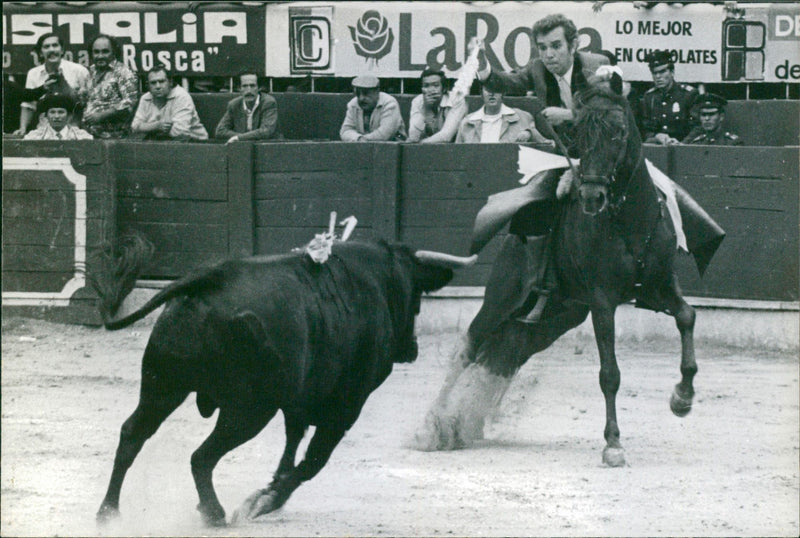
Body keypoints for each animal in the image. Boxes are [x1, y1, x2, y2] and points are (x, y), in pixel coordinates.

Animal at [97, 240, 478, 524]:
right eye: (417, 298)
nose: (411, 349)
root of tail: (209, 278)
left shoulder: (299, 399)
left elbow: (293, 440)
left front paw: (274, 485)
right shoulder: (347, 405)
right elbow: (313, 460)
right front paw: (266, 500)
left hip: (163, 386)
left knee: (132, 434)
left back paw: (109, 512)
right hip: (248, 410)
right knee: (201, 456)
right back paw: (215, 513)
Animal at [416, 84, 704, 464]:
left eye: (619, 132)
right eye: (580, 135)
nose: (592, 196)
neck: (630, 221)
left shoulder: (660, 285)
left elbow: (687, 316)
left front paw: (682, 398)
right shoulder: (602, 300)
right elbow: (610, 373)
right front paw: (613, 444)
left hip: (554, 317)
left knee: (505, 354)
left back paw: (463, 424)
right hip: (503, 296)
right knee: (469, 345)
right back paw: (433, 427)